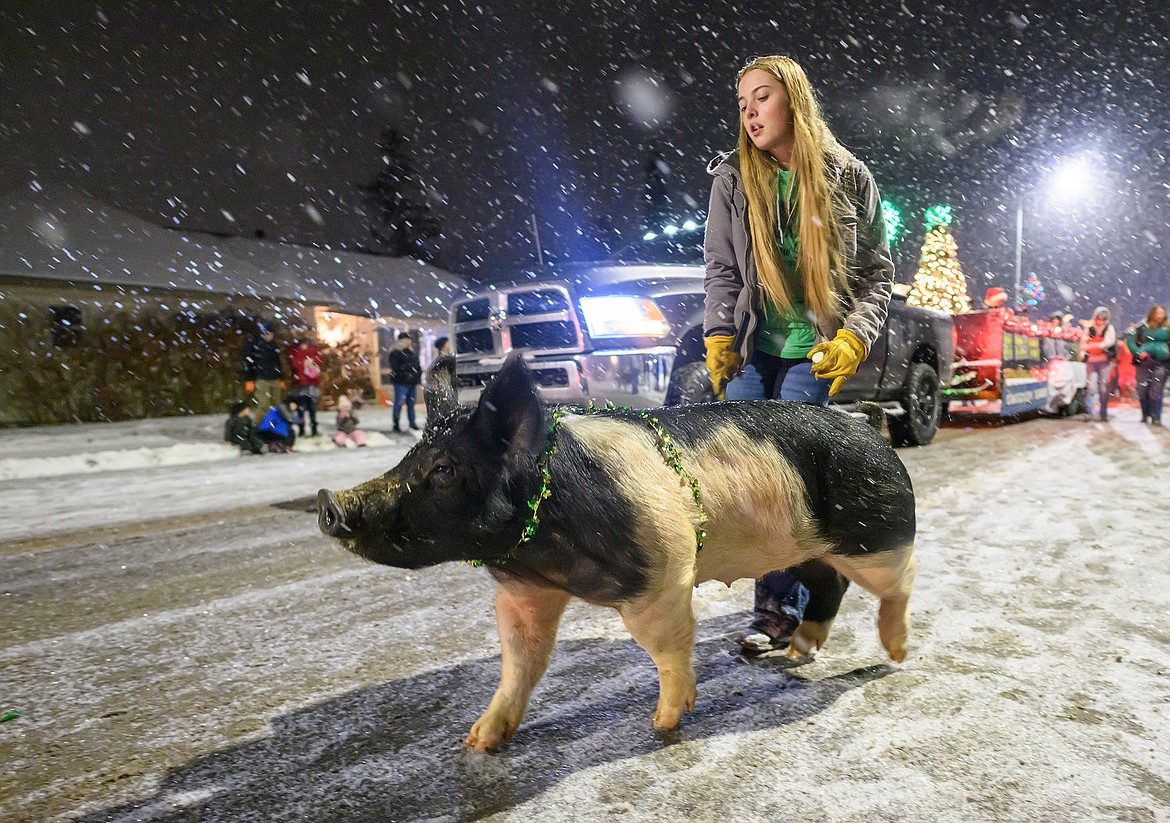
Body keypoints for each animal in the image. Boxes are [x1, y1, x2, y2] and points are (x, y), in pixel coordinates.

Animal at [318, 353, 912, 753]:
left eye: (443, 470)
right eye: (407, 458)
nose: (330, 502)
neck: (542, 549)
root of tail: (868, 422)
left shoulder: (663, 576)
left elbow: (666, 647)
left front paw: (663, 725)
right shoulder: (524, 594)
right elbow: (520, 663)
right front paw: (478, 742)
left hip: (880, 537)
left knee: (901, 581)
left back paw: (898, 653)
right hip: (810, 550)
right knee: (830, 582)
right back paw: (798, 653)